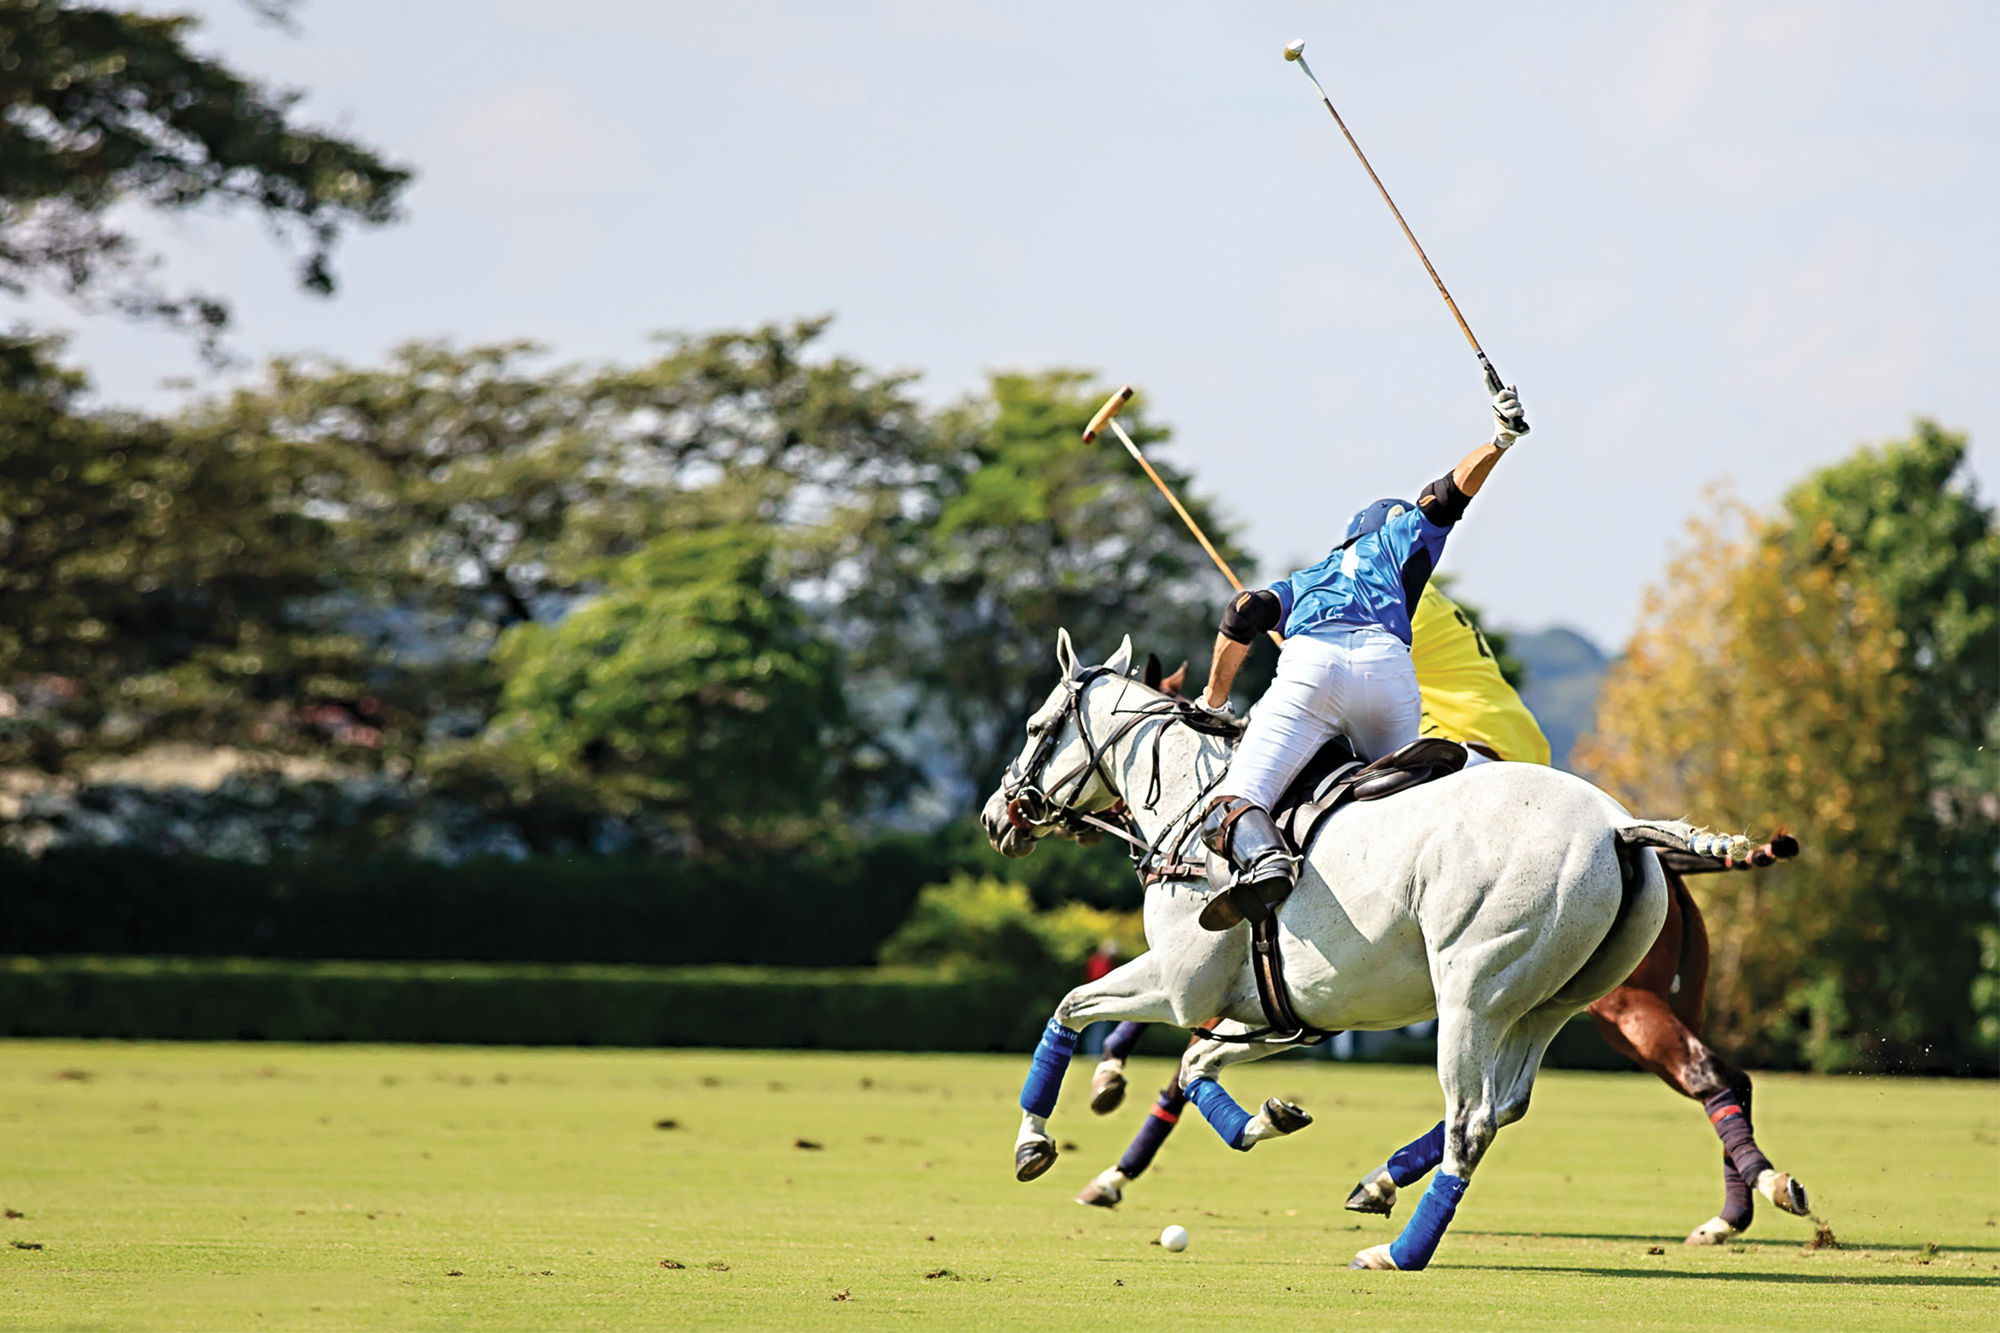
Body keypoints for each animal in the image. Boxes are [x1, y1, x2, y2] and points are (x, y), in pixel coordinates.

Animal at [980, 632, 1752, 1264]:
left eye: (1035, 726)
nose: (996, 816)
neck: (1193, 803)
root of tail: (1620, 829)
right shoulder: (1288, 1008)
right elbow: (1196, 1064)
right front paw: (1270, 1117)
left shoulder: (1180, 985)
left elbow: (1071, 1007)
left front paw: (1034, 1143)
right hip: (1553, 1005)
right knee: (1508, 1104)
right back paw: (1378, 1184)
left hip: (1476, 997)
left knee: (1472, 1121)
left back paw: (1401, 1252)